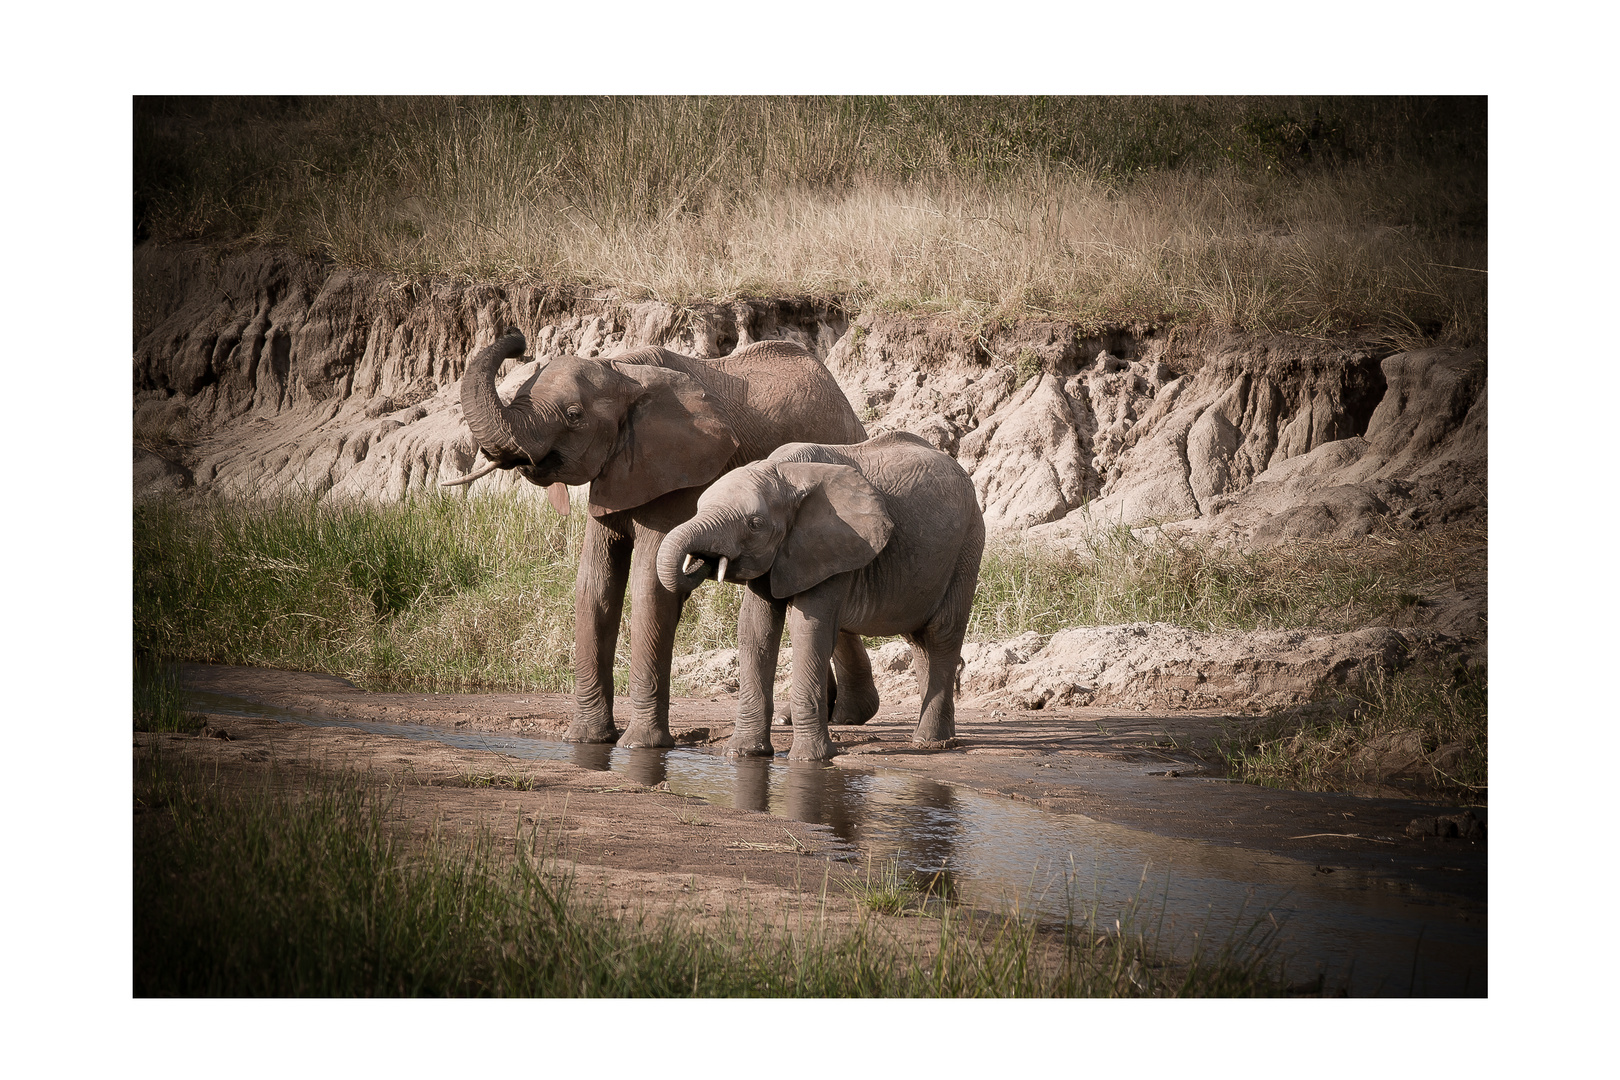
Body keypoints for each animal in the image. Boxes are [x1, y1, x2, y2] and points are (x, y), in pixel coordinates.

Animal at [443, 333, 874, 748]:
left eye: (574, 415)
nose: (518, 339)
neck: (622, 370)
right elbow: (594, 586)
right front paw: (586, 741)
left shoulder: (681, 471)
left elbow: (649, 586)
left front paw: (640, 746)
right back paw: (842, 714)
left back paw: (846, 714)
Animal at [657, 430, 984, 761]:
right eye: (698, 509)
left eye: (755, 524)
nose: (704, 559)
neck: (784, 473)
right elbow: (755, 628)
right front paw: (743, 753)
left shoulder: (835, 543)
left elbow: (809, 629)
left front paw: (808, 759)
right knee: (918, 640)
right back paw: (940, 738)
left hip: (967, 546)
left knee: (942, 633)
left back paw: (929, 742)